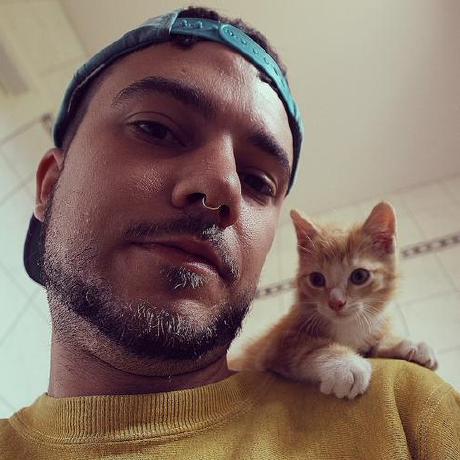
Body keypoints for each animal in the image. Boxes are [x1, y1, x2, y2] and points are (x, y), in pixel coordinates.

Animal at [230, 202, 438, 399]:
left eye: (359, 276)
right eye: (316, 279)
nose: (336, 302)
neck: (348, 327)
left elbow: (377, 343)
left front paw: (408, 344)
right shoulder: (272, 347)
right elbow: (308, 346)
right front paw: (345, 365)